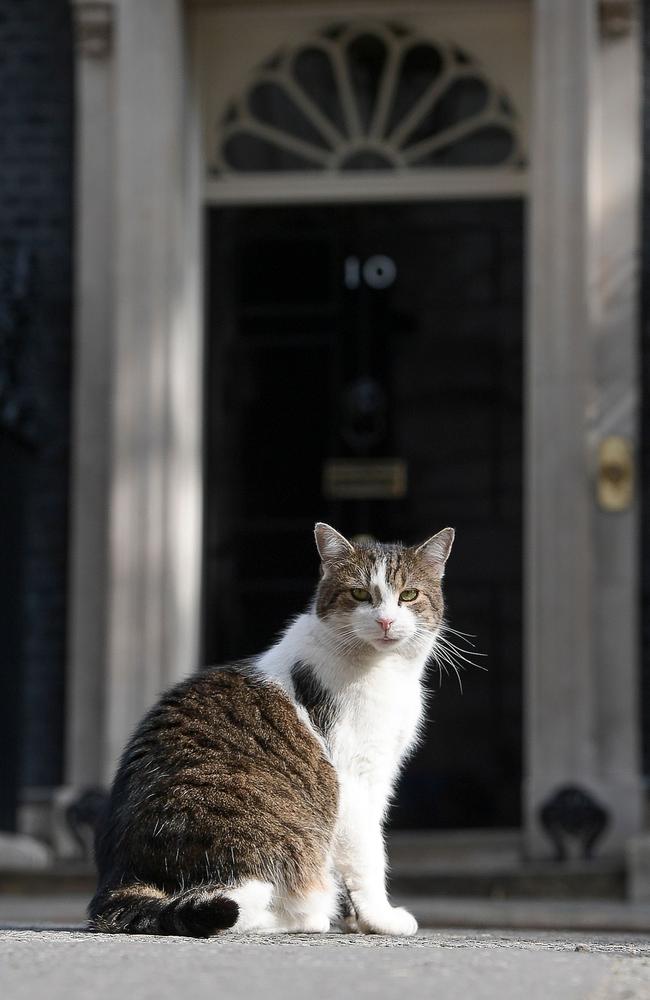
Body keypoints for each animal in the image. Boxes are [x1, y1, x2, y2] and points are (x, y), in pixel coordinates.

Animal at [86, 524, 454, 936]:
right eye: (360, 593)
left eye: (409, 595)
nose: (386, 621)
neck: (387, 670)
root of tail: (119, 880)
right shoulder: (356, 778)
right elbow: (368, 854)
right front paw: (381, 918)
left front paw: (355, 920)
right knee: (240, 901)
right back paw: (309, 915)